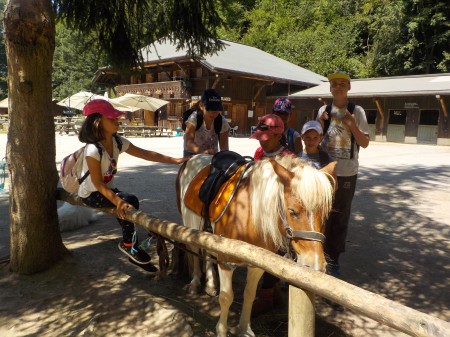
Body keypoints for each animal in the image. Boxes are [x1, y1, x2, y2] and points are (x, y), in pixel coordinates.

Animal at [176, 153, 334, 336]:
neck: (248, 214)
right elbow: (226, 297)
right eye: (293, 211)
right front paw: (222, 330)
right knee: (194, 254)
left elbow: (250, 294)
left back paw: (210, 285)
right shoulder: (225, 261)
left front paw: (244, 328)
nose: (315, 264)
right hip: (191, 228)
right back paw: (195, 283)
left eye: (326, 214)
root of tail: (192, 157)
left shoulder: (257, 264)